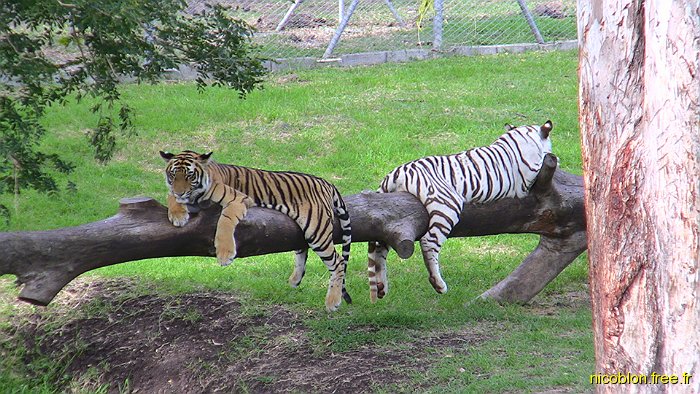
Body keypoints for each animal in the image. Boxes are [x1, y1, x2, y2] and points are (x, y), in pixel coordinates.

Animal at [161, 150, 352, 310]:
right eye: (173, 175)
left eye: (190, 175)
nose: (180, 192)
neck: (195, 197)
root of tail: (326, 182)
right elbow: (169, 196)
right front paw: (178, 214)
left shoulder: (237, 199)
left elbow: (224, 222)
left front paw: (225, 255)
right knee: (302, 250)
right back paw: (294, 280)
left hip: (317, 229)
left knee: (338, 262)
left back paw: (333, 302)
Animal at [370, 120, 556, 302]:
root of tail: (396, 172)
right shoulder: (529, 175)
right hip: (447, 206)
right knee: (428, 241)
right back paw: (438, 284)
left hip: (392, 222)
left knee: (379, 249)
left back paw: (381, 287)